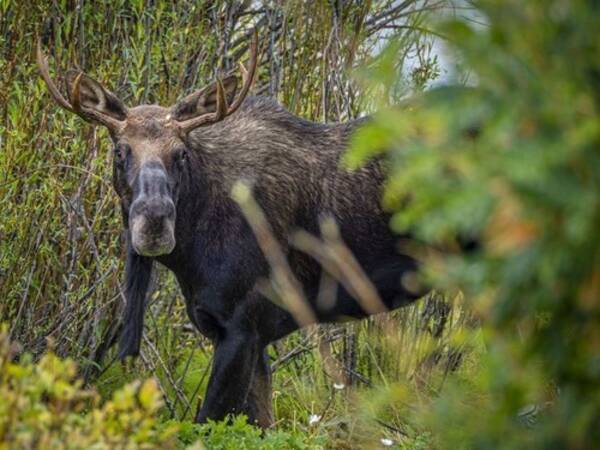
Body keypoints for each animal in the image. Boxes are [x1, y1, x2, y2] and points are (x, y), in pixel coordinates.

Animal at [36, 36, 422, 428]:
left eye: (181, 154)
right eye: (119, 151)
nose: (154, 220)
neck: (191, 245)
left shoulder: (241, 327)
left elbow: (207, 421)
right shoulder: (251, 335)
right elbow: (259, 422)